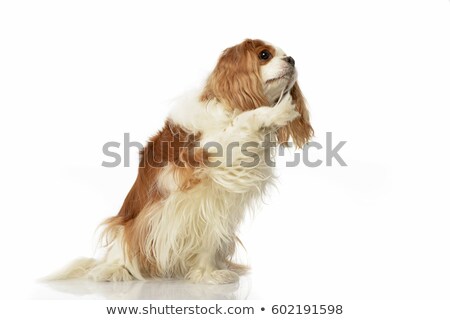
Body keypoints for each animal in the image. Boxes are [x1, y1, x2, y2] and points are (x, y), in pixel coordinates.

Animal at [51, 38, 312, 284]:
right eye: (264, 55)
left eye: (285, 54)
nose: (291, 59)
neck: (231, 107)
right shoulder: (207, 150)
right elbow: (242, 124)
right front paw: (276, 112)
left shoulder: (214, 206)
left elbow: (208, 241)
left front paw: (207, 274)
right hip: (133, 226)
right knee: (120, 250)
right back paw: (114, 270)